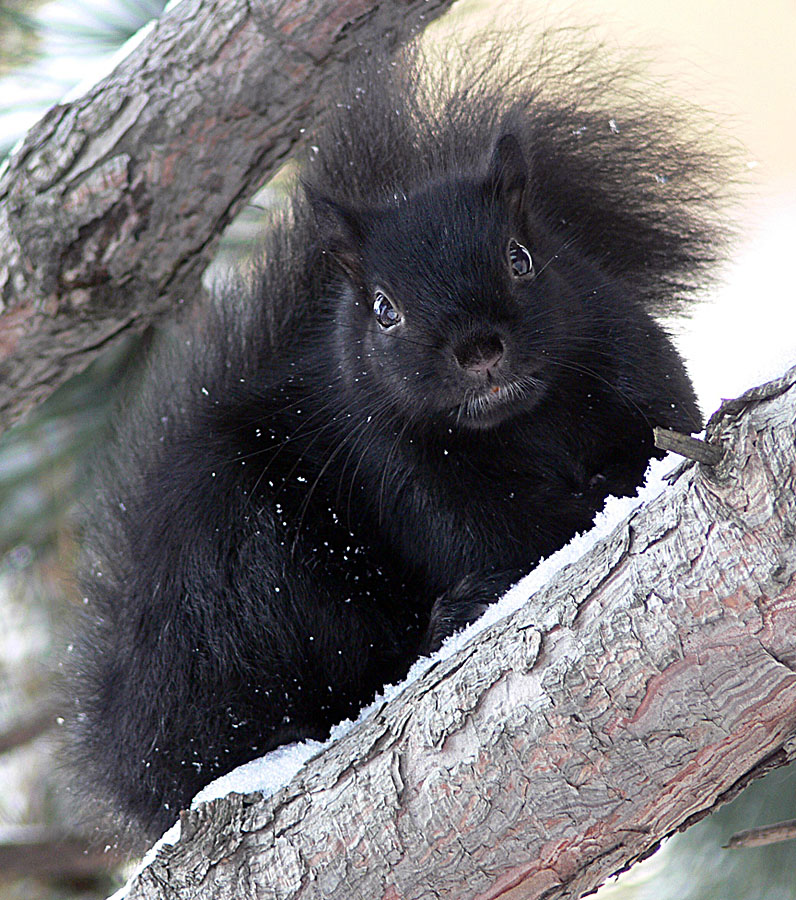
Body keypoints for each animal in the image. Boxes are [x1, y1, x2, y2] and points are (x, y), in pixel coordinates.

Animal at [67, 29, 732, 844]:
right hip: (236, 569)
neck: (524, 428)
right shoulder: (411, 479)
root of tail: (129, 731)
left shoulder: (638, 371)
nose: (479, 347)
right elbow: (510, 539)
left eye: (522, 258)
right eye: (384, 309)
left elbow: (660, 438)